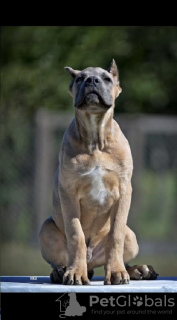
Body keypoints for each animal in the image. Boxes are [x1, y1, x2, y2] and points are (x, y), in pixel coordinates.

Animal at [39, 60, 158, 284]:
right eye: (79, 78)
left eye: (107, 79)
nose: (92, 81)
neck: (96, 138)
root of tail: (91, 261)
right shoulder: (68, 192)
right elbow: (75, 234)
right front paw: (75, 273)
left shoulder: (123, 191)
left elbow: (115, 234)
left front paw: (117, 272)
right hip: (46, 229)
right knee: (59, 259)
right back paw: (62, 271)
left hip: (131, 236)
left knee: (121, 247)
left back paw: (137, 269)